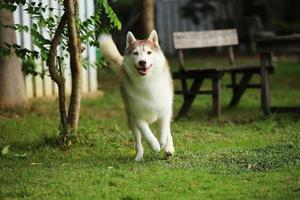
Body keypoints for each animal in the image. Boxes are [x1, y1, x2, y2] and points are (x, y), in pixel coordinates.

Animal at [99, 30, 173, 161]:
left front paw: (163, 143)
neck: (148, 83)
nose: (142, 62)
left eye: (149, 52)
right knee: (138, 140)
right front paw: (154, 145)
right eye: (135, 53)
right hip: (131, 121)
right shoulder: (137, 117)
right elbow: (147, 133)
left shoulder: (165, 111)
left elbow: (164, 130)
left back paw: (169, 148)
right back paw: (139, 156)